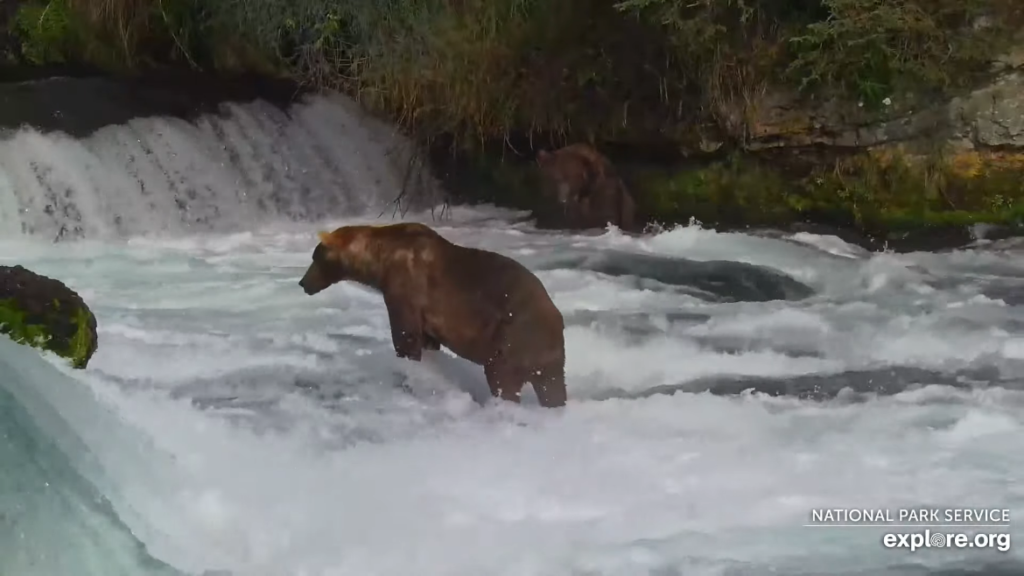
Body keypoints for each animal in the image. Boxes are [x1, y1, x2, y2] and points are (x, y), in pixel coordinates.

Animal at [296, 222, 569, 405]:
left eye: (315, 257)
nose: (303, 283)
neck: (380, 260)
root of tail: (556, 319)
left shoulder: (405, 286)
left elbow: (405, 334)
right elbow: (427, 339)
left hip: (513, 335)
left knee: (503, 376)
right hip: (546, 355)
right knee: (552, 387)